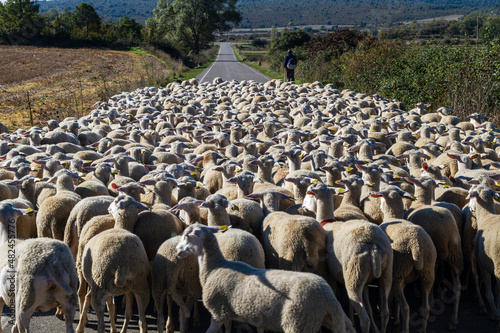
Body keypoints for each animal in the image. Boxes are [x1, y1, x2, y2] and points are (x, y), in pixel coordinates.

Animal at [177, 222, 356, 332]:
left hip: (297, 321)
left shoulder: (218, 312)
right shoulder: (230, 314)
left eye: (187, 235)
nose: (178, 250)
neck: (215, 267)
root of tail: (327, 298)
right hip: (328, 319)